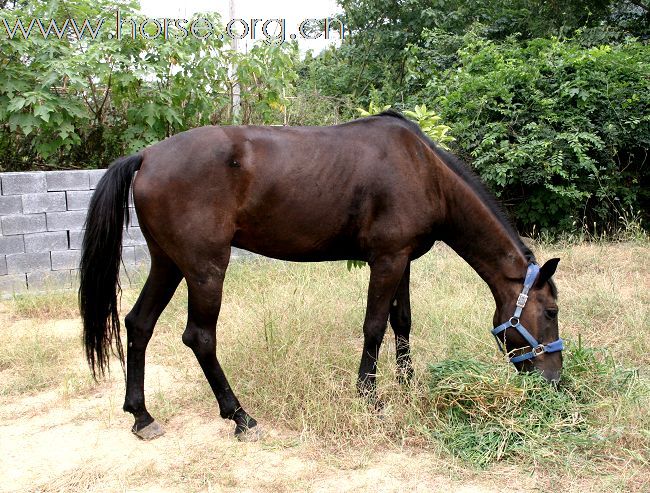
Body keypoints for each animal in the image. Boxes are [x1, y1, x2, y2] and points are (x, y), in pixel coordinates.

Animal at [78, 110, 560, 438]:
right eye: (552, 311)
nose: (554, 382)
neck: (424, 170)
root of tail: (146, 156)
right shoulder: (386, 260)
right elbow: (374, 326)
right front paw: (370, 397)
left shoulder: (402, 259)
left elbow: (402, 322)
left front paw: (407, 385)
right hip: (204, 268)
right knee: (199, 337)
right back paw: (240, 416)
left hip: (168, 263)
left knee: (139, 324)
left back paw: (142, 415)